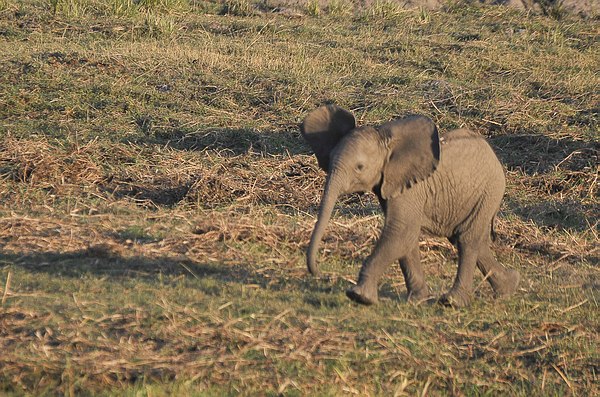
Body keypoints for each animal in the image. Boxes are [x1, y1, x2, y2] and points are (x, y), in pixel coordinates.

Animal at [302, 104, 516, 306]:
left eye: (359, 167)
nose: (321, 274)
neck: (387, 144)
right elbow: (407, 237)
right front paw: (417, 300)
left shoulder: (410, 189)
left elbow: (401, 231)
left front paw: (359, 296)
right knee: (471, 239)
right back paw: (508, 287)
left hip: (489, 191)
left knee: (467, 239)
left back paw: (453, 302)